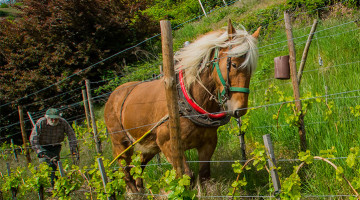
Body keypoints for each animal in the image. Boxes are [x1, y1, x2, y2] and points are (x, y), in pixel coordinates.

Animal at [103, 19, 258, 192]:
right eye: (235, 64)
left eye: (251, 68)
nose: (240, 109)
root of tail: (112, 96)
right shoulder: (168, 144)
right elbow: (186, 176)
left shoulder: (208, 142)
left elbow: (204, 175)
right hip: (121, 143)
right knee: (126, 171)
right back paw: (134, 192)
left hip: (149, 146)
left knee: (139, 167)